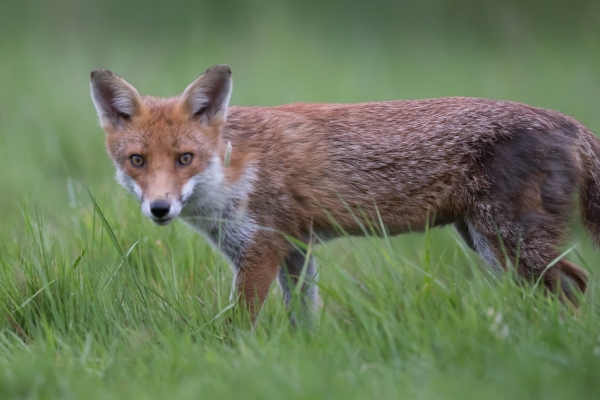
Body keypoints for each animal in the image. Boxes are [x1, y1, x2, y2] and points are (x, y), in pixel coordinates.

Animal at [90, 63, 600, 324]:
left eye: (184, 159)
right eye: (138, 161)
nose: (159, 208)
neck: (233, 170)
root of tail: (567, 121)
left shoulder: (260, 252)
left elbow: (237, 328)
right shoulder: (295, 249)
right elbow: (304, 318)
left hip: (508, 244)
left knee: (576, 284)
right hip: (489, 247)